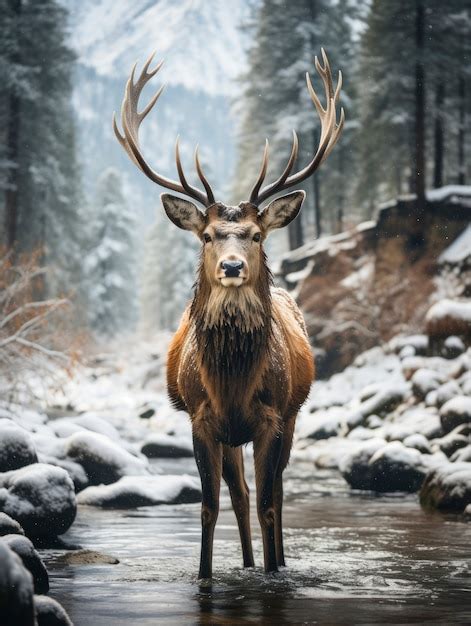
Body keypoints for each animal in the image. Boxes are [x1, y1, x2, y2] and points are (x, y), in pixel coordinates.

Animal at [114, 47, 342, 576]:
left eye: (256, 235)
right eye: (207, 235)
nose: (233, 266)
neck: (233, 381)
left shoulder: (272, 417)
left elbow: (269, 505)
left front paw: (276, 571)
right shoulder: (200, 418)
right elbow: (210, 506)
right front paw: (204, 574)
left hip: (291, 417)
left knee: (273, 493)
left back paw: (273, 560)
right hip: (229, 436)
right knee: (238, 497)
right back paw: (247, 563)